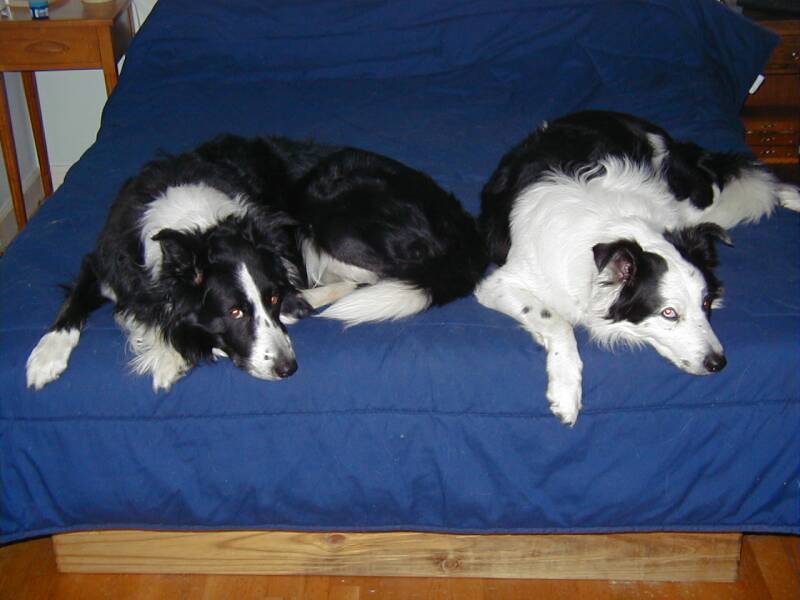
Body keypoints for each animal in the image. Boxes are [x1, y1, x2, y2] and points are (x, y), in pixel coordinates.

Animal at [26, 134, 488, 392]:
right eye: (234, 311)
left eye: (272, 299)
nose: (289, 369)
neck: (196, 224)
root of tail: (462, 226)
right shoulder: (106, 261)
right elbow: (72, 304)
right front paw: (45, 357)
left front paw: (172, 354)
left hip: (328, 211)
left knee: (371, 278)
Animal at [476, 109, 800, 426]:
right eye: (668, 313)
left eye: (706, 303)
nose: (718, 363)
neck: (613, 228)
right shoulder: (497, 284)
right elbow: (557, 321)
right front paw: (566, 391)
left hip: (694, 202)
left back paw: (789, 195)